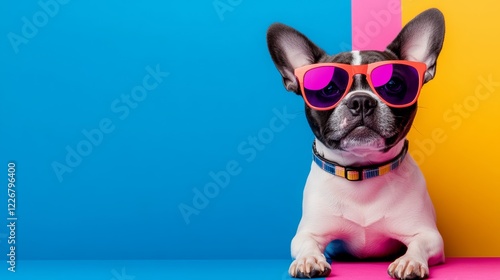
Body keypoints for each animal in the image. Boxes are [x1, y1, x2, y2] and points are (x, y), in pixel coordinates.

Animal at [268, 7, 448, 278]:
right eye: (329, 88)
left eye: (393, 84)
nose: (361, 100)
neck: (361, 171)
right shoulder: (307, 233)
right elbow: (307, 244)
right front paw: (308, 259)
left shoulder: (429, 235)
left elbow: (418, 244)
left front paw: (409, 261)